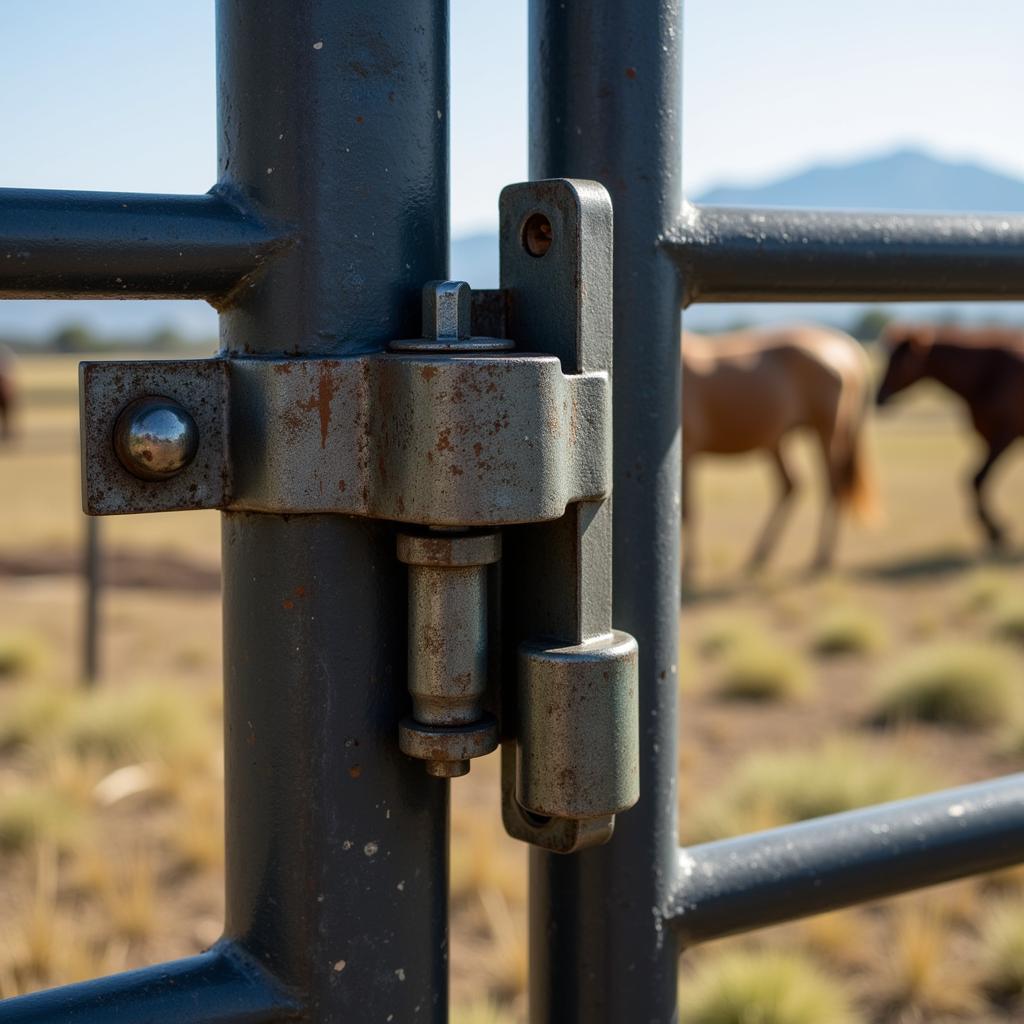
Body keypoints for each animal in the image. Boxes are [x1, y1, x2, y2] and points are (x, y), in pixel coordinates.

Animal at [684, 323, 876, 581]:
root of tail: (850, 351)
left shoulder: (687, 450)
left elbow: (688, 510)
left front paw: (689, 566)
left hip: (826, 430)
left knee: (832, 486)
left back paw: (821, 557)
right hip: (779, 441)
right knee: (791, 485)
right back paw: (760, 555)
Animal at [876, 321, 1024, 548]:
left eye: (900, 362)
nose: (878, 397)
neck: (988, 375)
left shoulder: (1004, 437)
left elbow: (978, 479)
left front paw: (995, 530)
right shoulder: (987, 439)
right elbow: (972, 479)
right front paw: (991, 528)